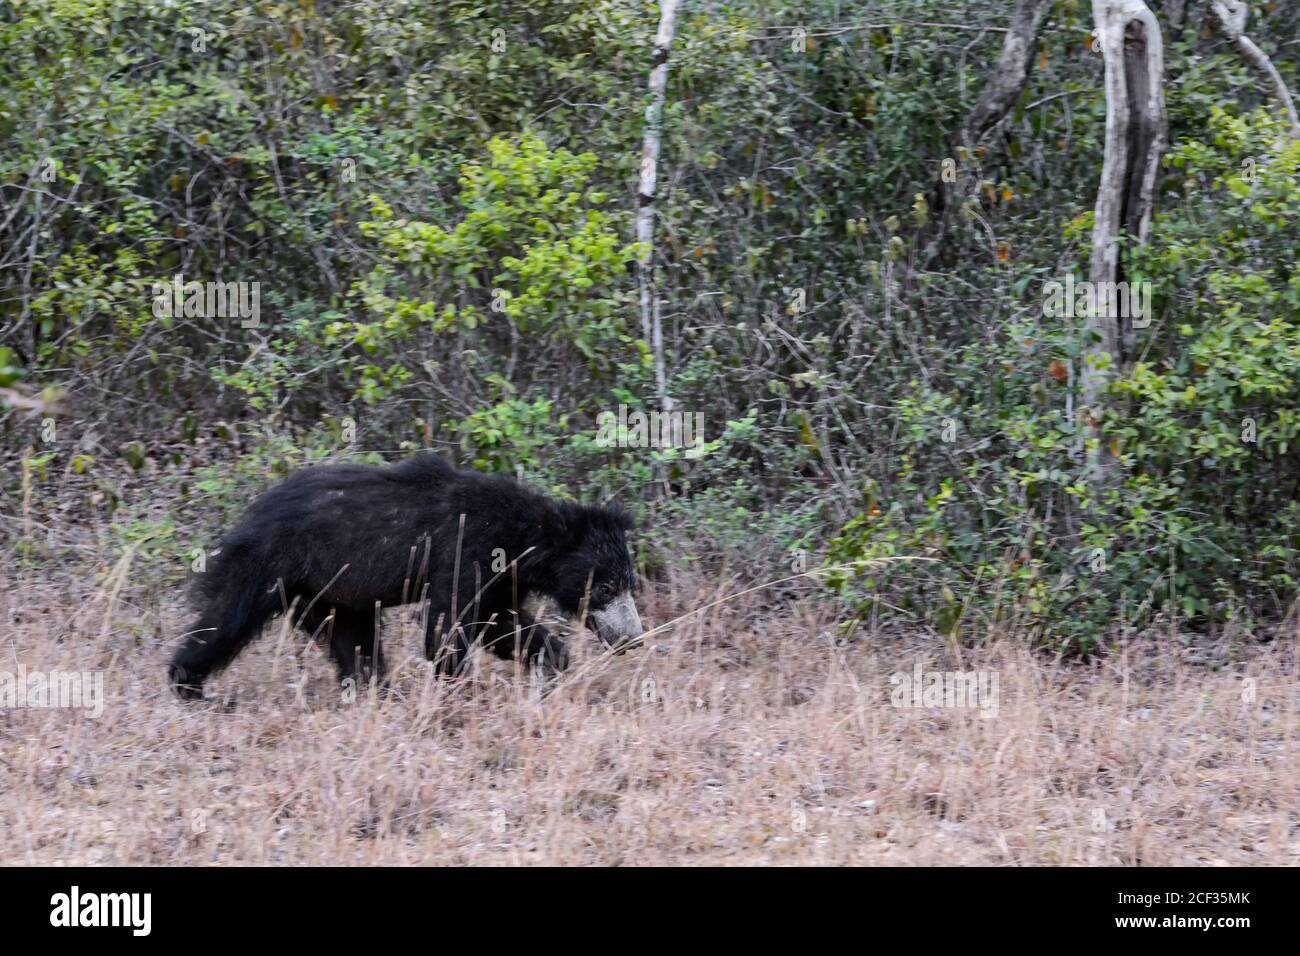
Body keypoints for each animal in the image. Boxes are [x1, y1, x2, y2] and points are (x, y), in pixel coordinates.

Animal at [170, 452, 642, 697]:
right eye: (605, 587)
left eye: (629, 584)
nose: (632, 638)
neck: (522, 539)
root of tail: (248, 516)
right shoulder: (464, 553)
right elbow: (447, 626)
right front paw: (455, 690)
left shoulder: (502, 578)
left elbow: (501, 624)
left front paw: (553, 663)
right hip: (274, 565)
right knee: (227, 620)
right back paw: (186, 683)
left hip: (332, 590)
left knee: (354, 640)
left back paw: (373, 689)